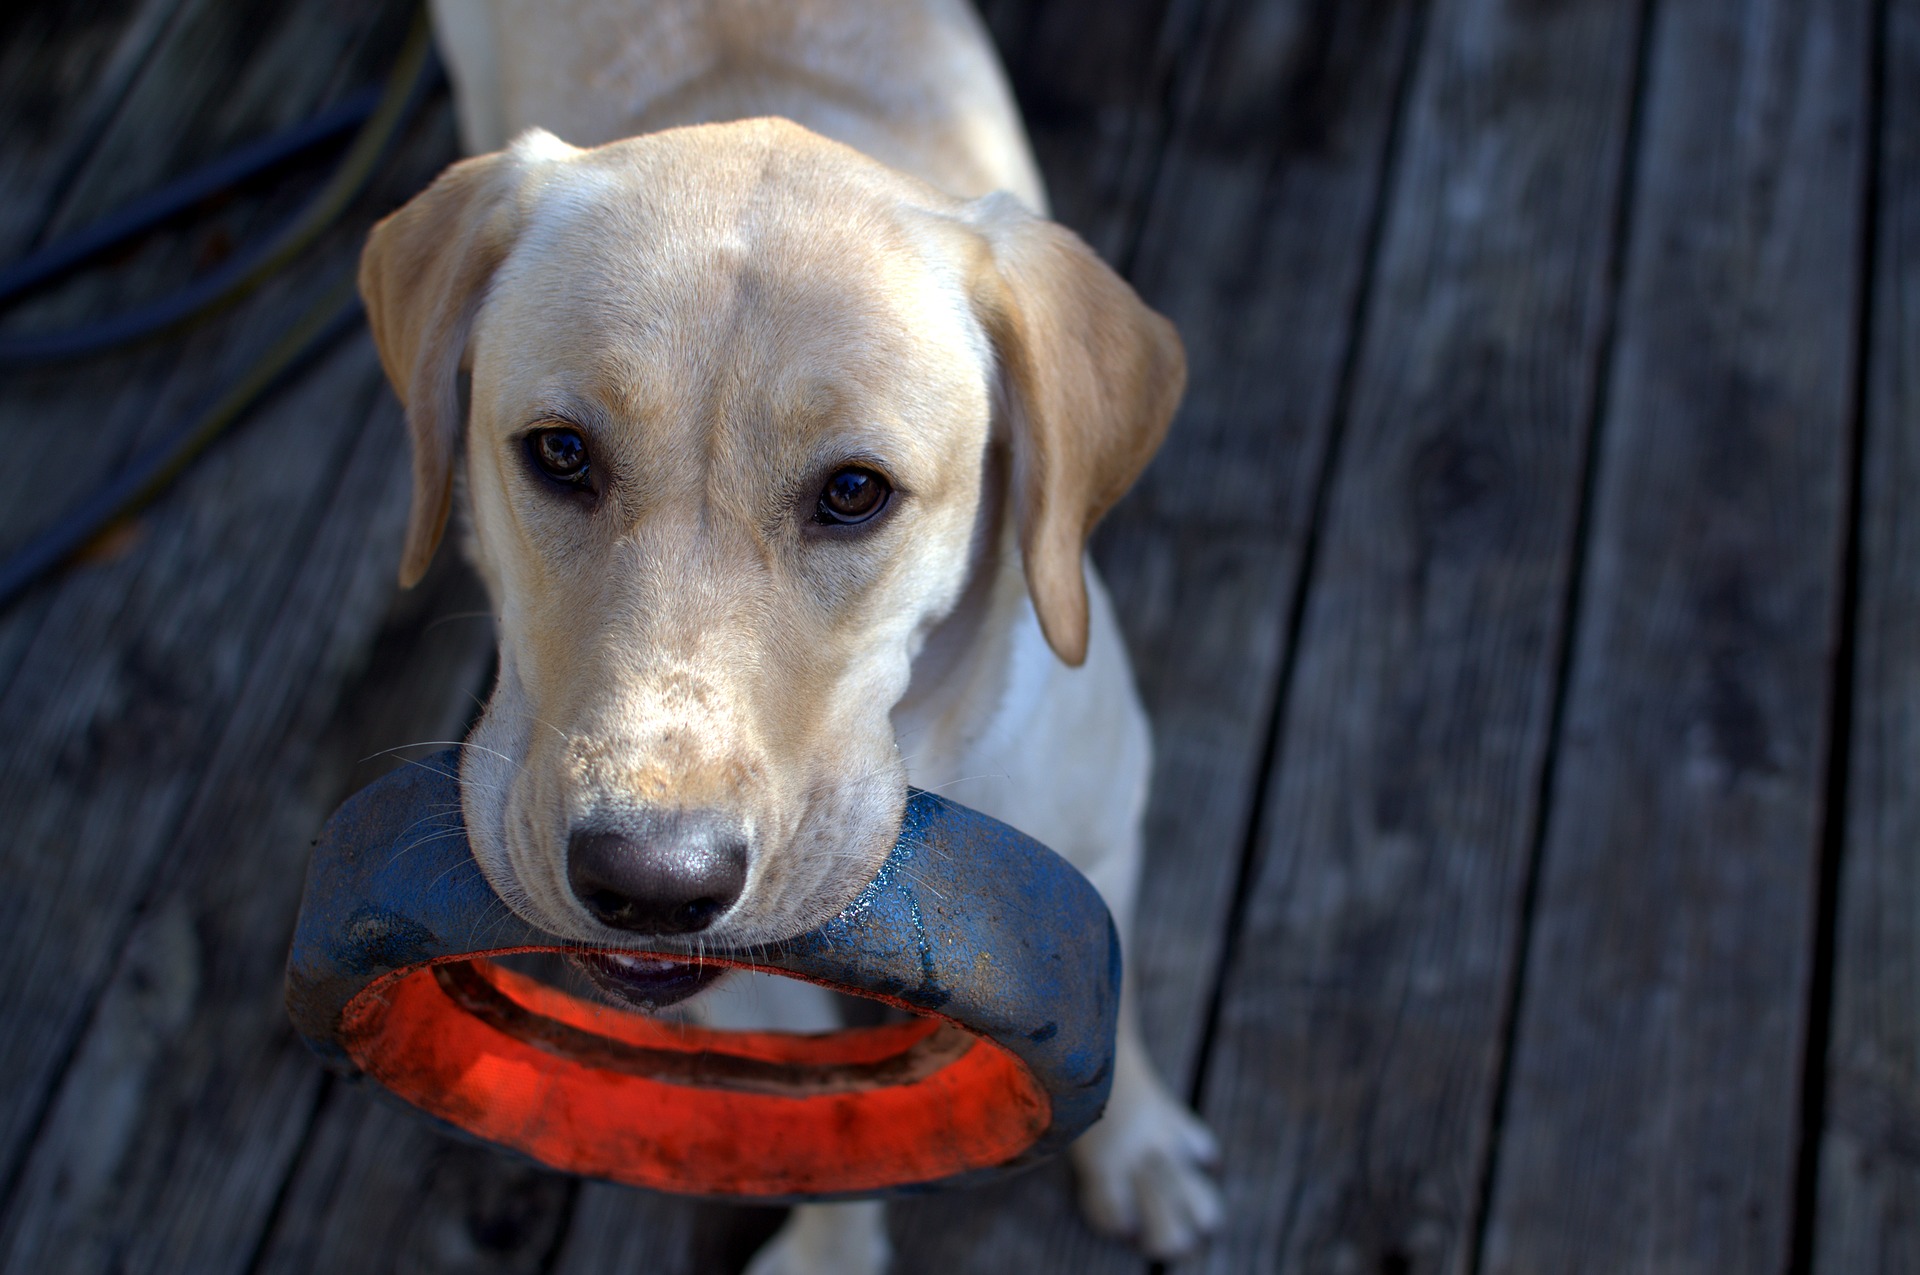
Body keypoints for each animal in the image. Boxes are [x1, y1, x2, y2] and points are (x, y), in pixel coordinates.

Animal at [360, 0, 1221, 1267]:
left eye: (855, 492)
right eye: (560, 453)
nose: (649, 881)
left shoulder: (1105, 839)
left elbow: (1126, 1017)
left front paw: (1142, 1146)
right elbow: (823, 1126)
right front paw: (831, 1251)